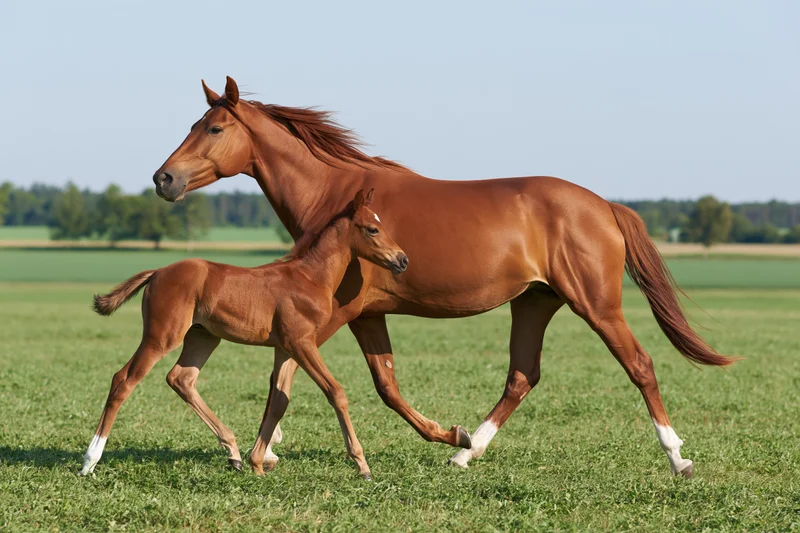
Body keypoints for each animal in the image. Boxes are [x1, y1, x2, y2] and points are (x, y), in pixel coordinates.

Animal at [80, 189, 408, 479]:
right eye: (373, 229)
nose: (402, 259)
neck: (309, 278)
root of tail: (158, 272)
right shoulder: (301, 343)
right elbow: (335, 392)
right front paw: (362, 465)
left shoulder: (284, 348)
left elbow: (279, 399)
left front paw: (258, 462)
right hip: (162, 337)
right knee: (123, 380)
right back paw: (90, 460)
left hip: (203, 337)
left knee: (181, 379)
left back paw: (234, 453)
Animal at [152, 76, 735, 478]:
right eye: (193, 126)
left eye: (214, 128)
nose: (164, 178)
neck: (341, 204)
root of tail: (605, 206)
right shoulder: (365, 315)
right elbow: (376, 385)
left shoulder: (337, 312)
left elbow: (290, 378)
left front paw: (263, 451)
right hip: (534, 302)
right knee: (522, 376)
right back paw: (467, 453)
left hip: (596, 304)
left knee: (639, 365)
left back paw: (677, 458)